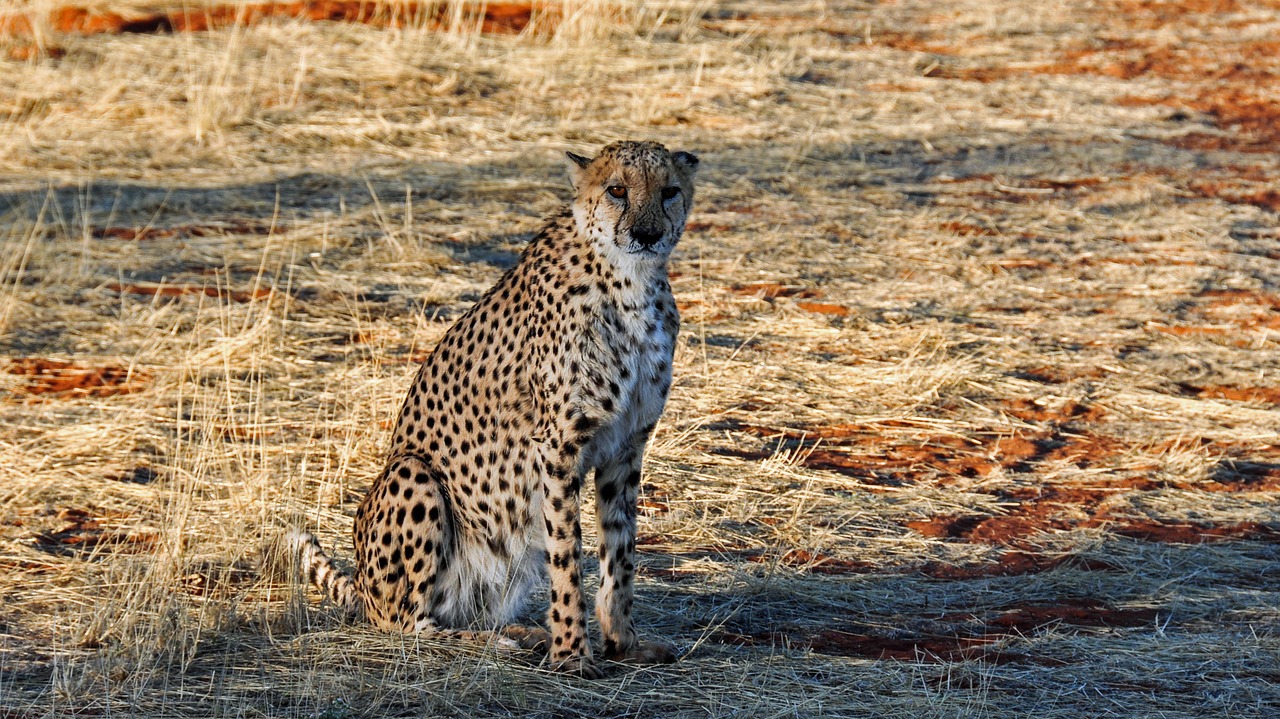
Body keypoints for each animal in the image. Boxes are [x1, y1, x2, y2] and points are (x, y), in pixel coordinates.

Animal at [289, 136, 696, 675]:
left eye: (669, 191)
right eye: (616, 190)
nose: (647, 234)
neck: (630, 283)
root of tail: (361, 586)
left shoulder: (626, 445)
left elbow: (621, 550)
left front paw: (623, 643)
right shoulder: (558, 446)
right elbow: (567, 554)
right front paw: (572, 653)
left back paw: (519, 632)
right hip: (413, 474)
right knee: (407, 625)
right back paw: (495, 643)